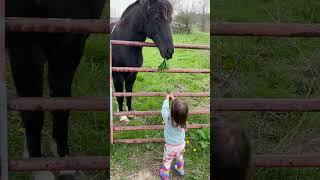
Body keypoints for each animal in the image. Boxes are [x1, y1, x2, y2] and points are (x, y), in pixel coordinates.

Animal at [5, 0, 105, 163]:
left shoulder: (71, 45)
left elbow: (61, 105)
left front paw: (63, 159)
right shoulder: (25, 49)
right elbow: (32, 112)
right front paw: (36, 162)